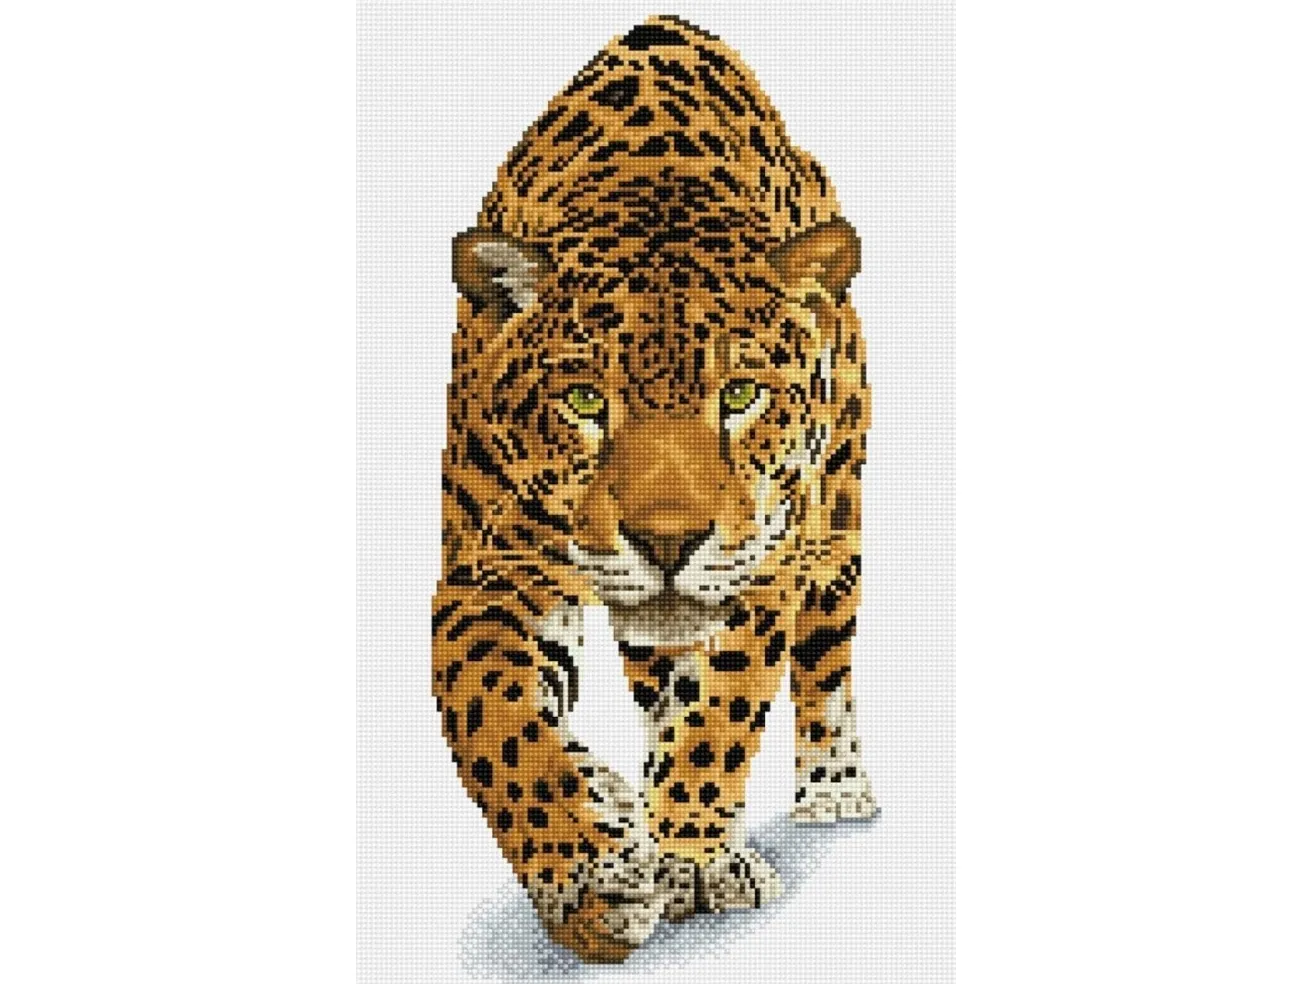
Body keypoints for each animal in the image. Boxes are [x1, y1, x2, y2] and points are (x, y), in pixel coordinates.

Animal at [432, 15, 876, 963]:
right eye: (584, 400)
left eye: (740, 396)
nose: (667, 541)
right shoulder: (488, 575)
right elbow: (500, 726)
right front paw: (592, 881)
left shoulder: (766, 566)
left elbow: (724, 710)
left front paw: (692, 856)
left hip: (839, 520)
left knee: (826, 657)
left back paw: (833, 784)